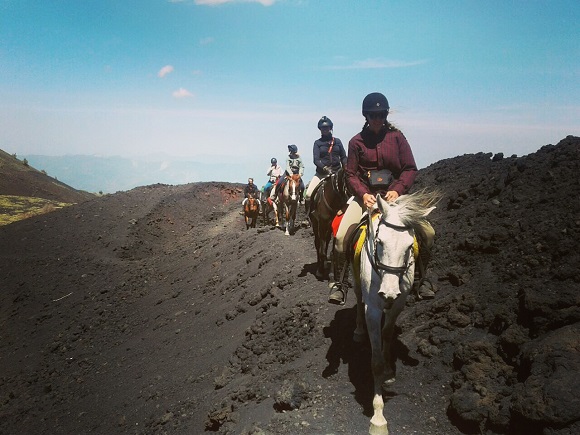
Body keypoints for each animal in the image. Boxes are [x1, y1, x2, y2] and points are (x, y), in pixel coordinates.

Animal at [352, 192, 438, 434]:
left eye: (410, 246)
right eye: (379, 242)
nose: (388, 292)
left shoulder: (398, 304)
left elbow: (388, 334)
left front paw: (389, 371)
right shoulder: (372, 309)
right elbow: (375, 362)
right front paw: (378, 418)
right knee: (357, 298)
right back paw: (358, 331)